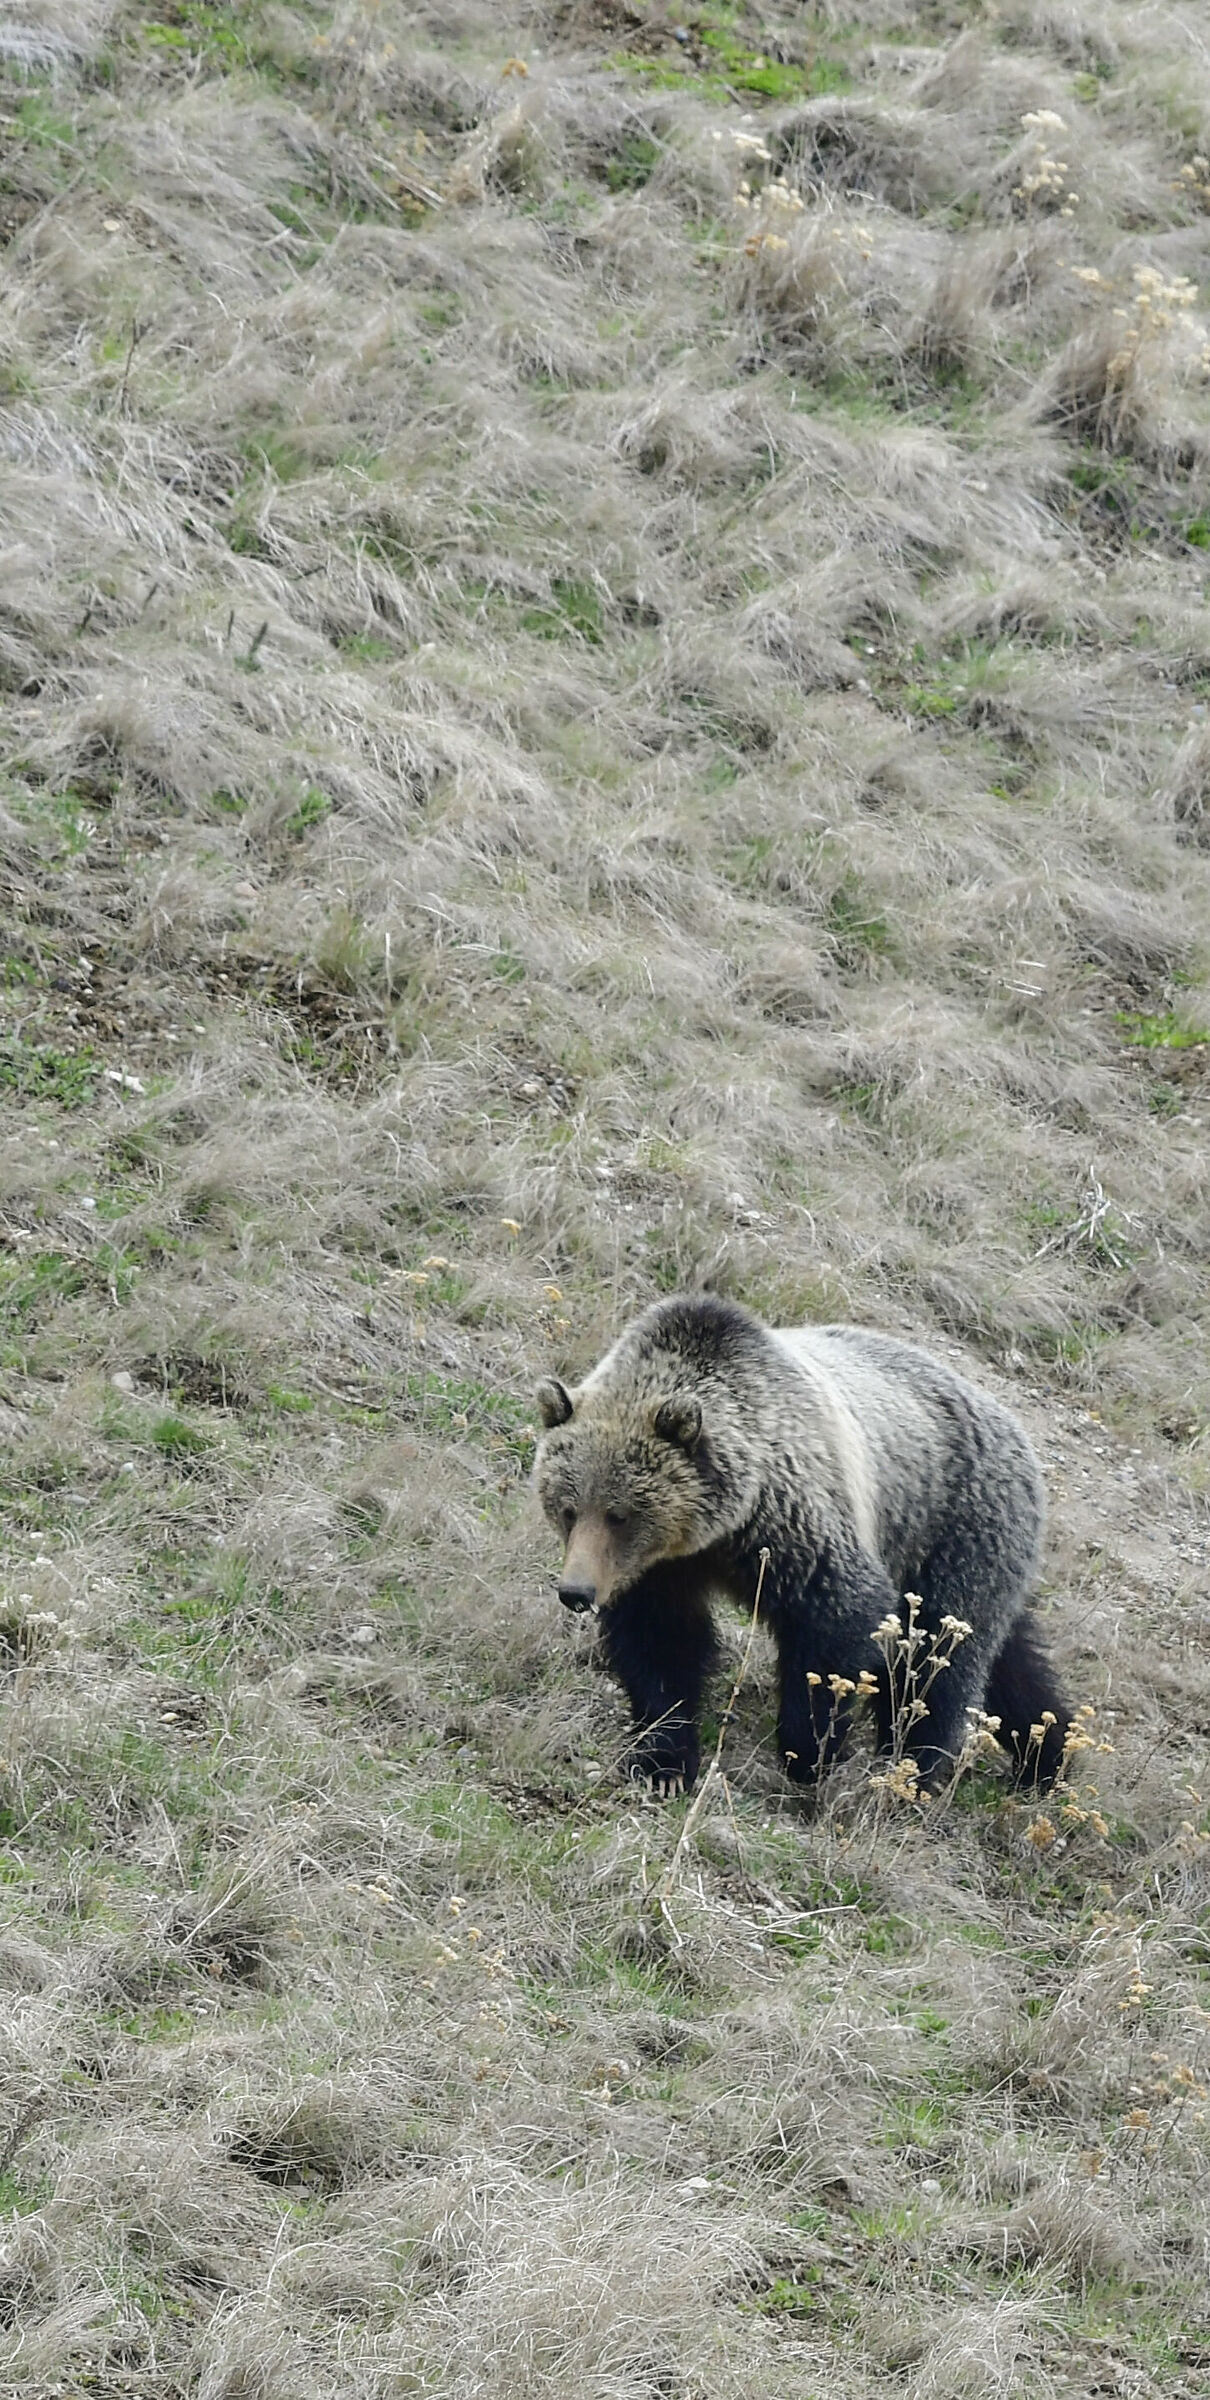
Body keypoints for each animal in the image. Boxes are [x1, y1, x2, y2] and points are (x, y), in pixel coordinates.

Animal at [533, 1292, 1070, 1795]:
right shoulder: (662, 1570)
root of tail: (1010, 1421)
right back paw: (1046, 1753)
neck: (717, 1529)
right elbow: (661, 1642)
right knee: (1010, 1658)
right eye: (567, 1508)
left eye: (619, 1514)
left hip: (953, 1523)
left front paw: (808, 1753)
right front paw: (663, 1761)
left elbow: (836, 1622)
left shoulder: (792, 1519)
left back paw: (911, 1769)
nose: (576, 1592)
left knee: (937, 1658)